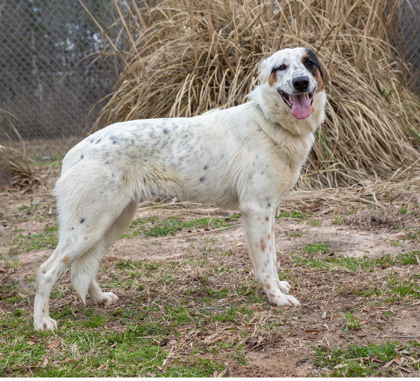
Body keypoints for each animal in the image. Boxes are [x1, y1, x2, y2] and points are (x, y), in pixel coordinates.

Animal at [33, 47, 328, 330]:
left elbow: (273, 258)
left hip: (109, 224)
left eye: (309, 63)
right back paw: (42, 322)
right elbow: (265, 265)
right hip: (89, 227)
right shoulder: (256, 211)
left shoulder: (268, 212)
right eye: (281, 67)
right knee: (47, 270)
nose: (301, 83)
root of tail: (74, 154)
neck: (268, 120)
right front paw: (276, 298)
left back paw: (99, 298)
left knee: (83, 266)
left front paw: (278, 288)